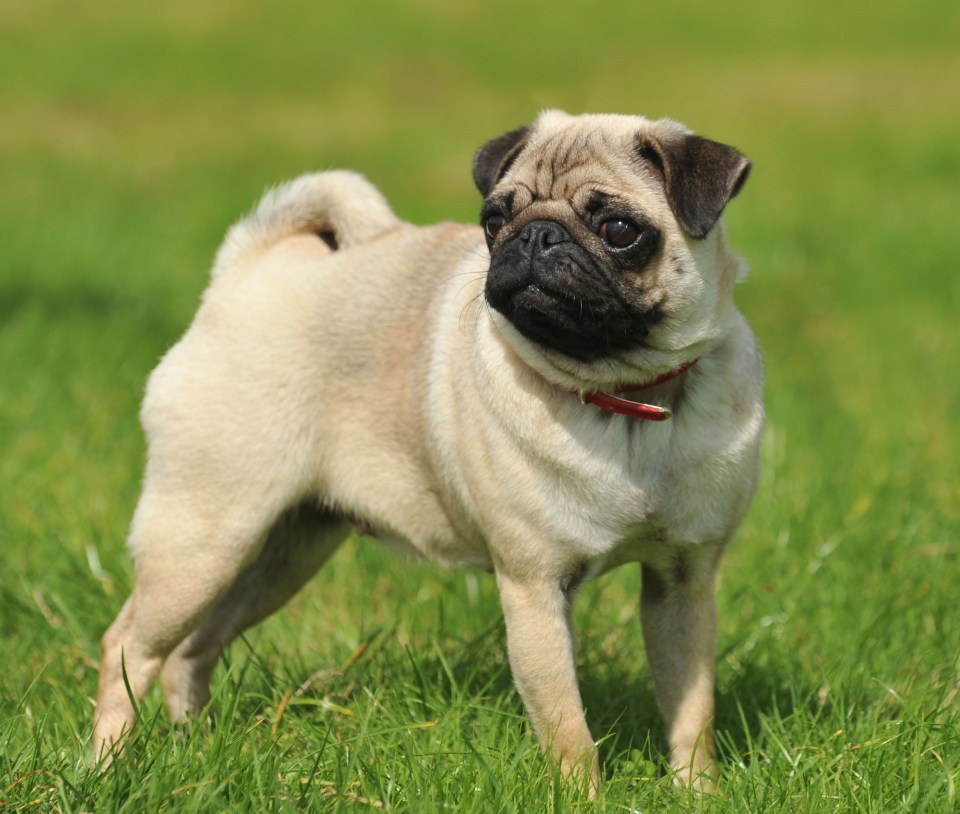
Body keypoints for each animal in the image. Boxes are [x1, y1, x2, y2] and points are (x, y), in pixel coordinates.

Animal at [95, 111, 764, 792]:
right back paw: (106, 763)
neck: (627, 397)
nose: (536, 235)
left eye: (620, 230)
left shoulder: (683, 584)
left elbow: (691, 709)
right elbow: (567, 728)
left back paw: (193, 747)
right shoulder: (534, 589)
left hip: (287, 549)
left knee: (191, 649)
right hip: (204, 537)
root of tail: (247, 270)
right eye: (494, 221)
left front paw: (697, 791)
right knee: (129, 646)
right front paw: (583, 797)